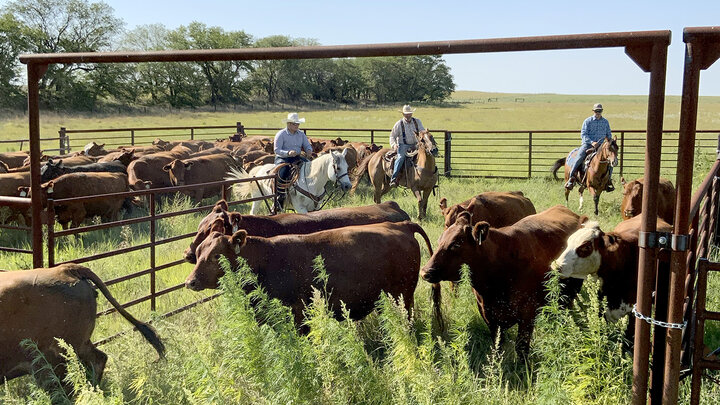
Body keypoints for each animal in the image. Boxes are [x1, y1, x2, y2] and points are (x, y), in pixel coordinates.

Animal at [186, 219, 434, 324]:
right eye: (199, 251)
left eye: (216, 255)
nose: (190, 282)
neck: (267, 260)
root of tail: (401, 225)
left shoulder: (298, 313)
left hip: (403, 297)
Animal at [422, 204, 584, 356]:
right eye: (440, 241)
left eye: (456, 244)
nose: (425, 272)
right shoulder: (490, 318)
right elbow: (498, 347)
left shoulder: (527, 315)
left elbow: (521, 349)